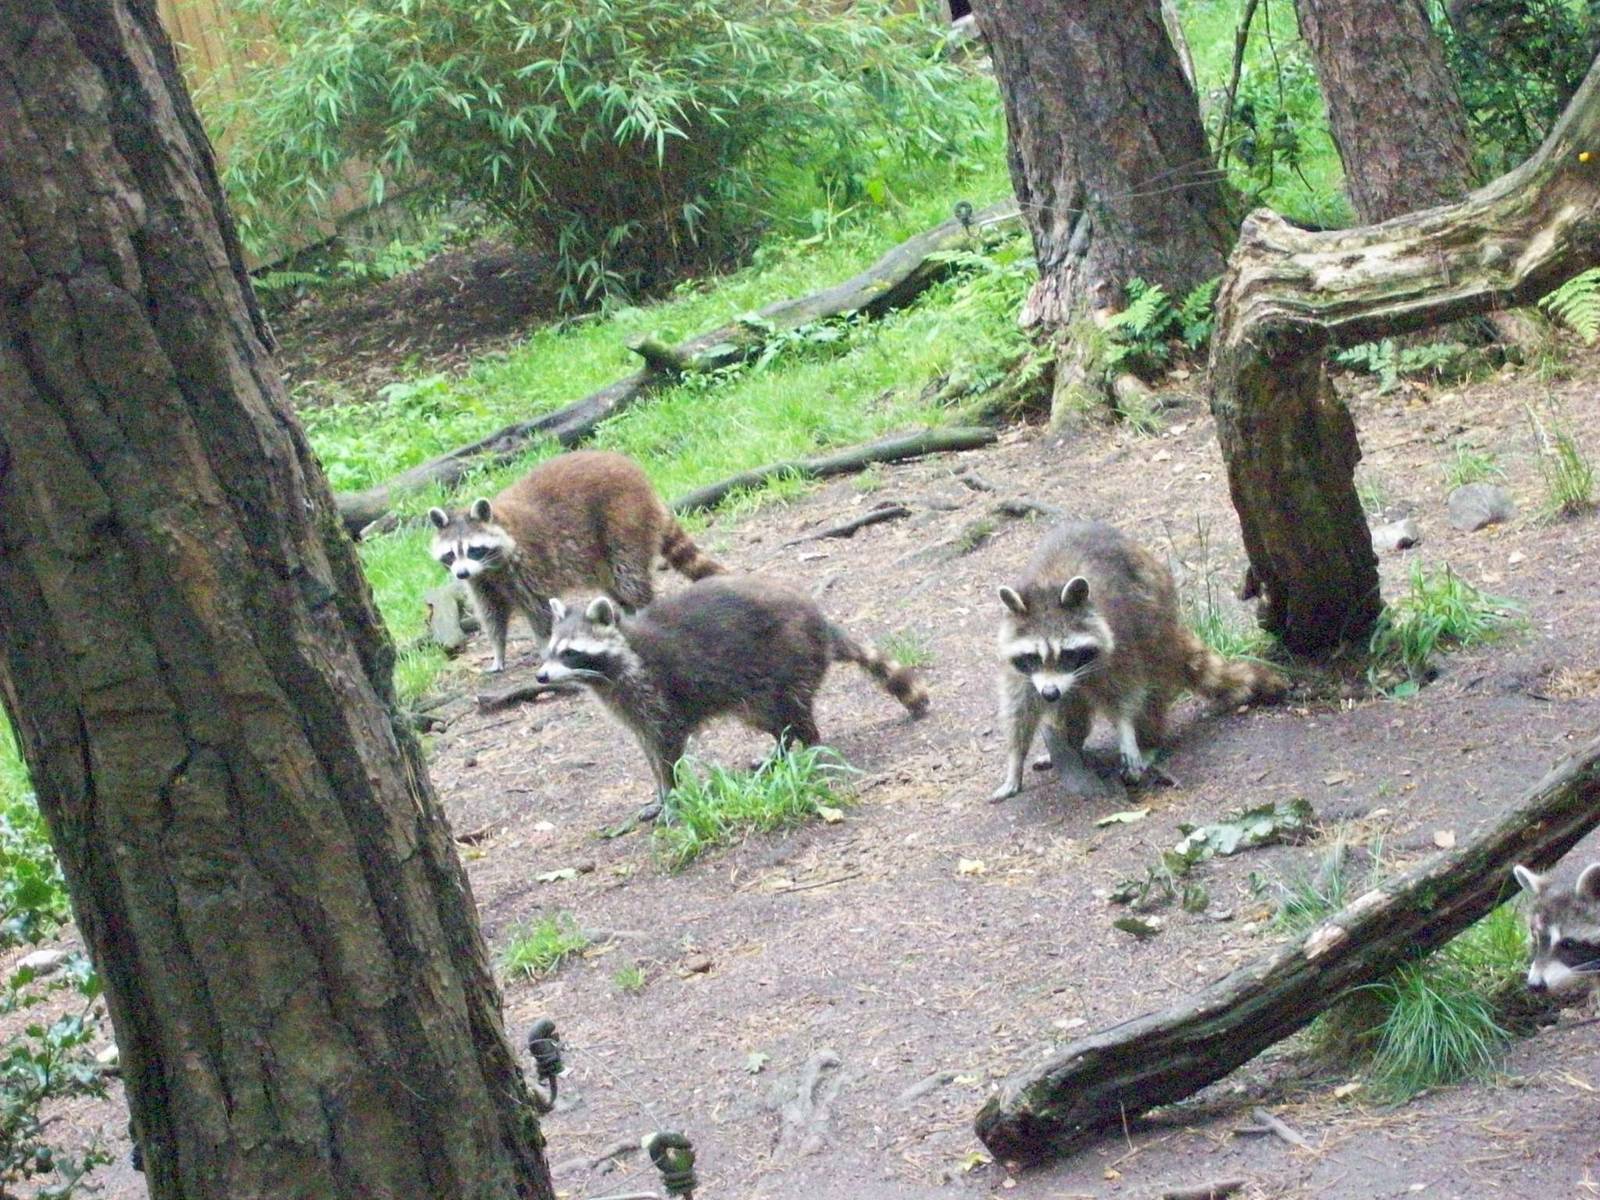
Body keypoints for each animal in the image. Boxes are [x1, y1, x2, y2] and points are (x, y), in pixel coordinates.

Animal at [428, 451, 723, 672]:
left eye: (473, 550)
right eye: (451, 554)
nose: (461, 574)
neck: (491, 567)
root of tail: (638, 476)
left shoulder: (530, 563)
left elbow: (540, 611)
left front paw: (545, 646)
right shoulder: (482, 582)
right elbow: (492, 616)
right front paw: (498, 652)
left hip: (623, 519)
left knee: (629, 576)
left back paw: (641, 608)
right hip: (601, 551)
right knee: (614, 584)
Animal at [535, 576, 929, 819]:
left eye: (570, 653)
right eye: (550, 650)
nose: (541, 677)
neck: (609, 673)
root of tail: (819, 621)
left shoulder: (659, 694)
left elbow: (668, 751)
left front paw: (672, 797)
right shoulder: (633, 711)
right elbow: (649, 752)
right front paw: (659, 795)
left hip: (787, 661)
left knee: (794, 713)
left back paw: (811, 746)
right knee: (776, 721)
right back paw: (780, 750)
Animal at [990, 521, 1287, 802]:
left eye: (1067, 654)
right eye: (1033, 657)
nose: (1050, 693)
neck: (1049, 584)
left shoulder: (1120, 641)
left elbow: (1127, 692)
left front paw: (1126, 731)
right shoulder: (1020, 668)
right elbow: (1019, 708)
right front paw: (1015, 760)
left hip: (1154, 629)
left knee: (1150, 696)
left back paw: (1148, 742)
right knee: (1069, 708)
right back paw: (1071, 744)